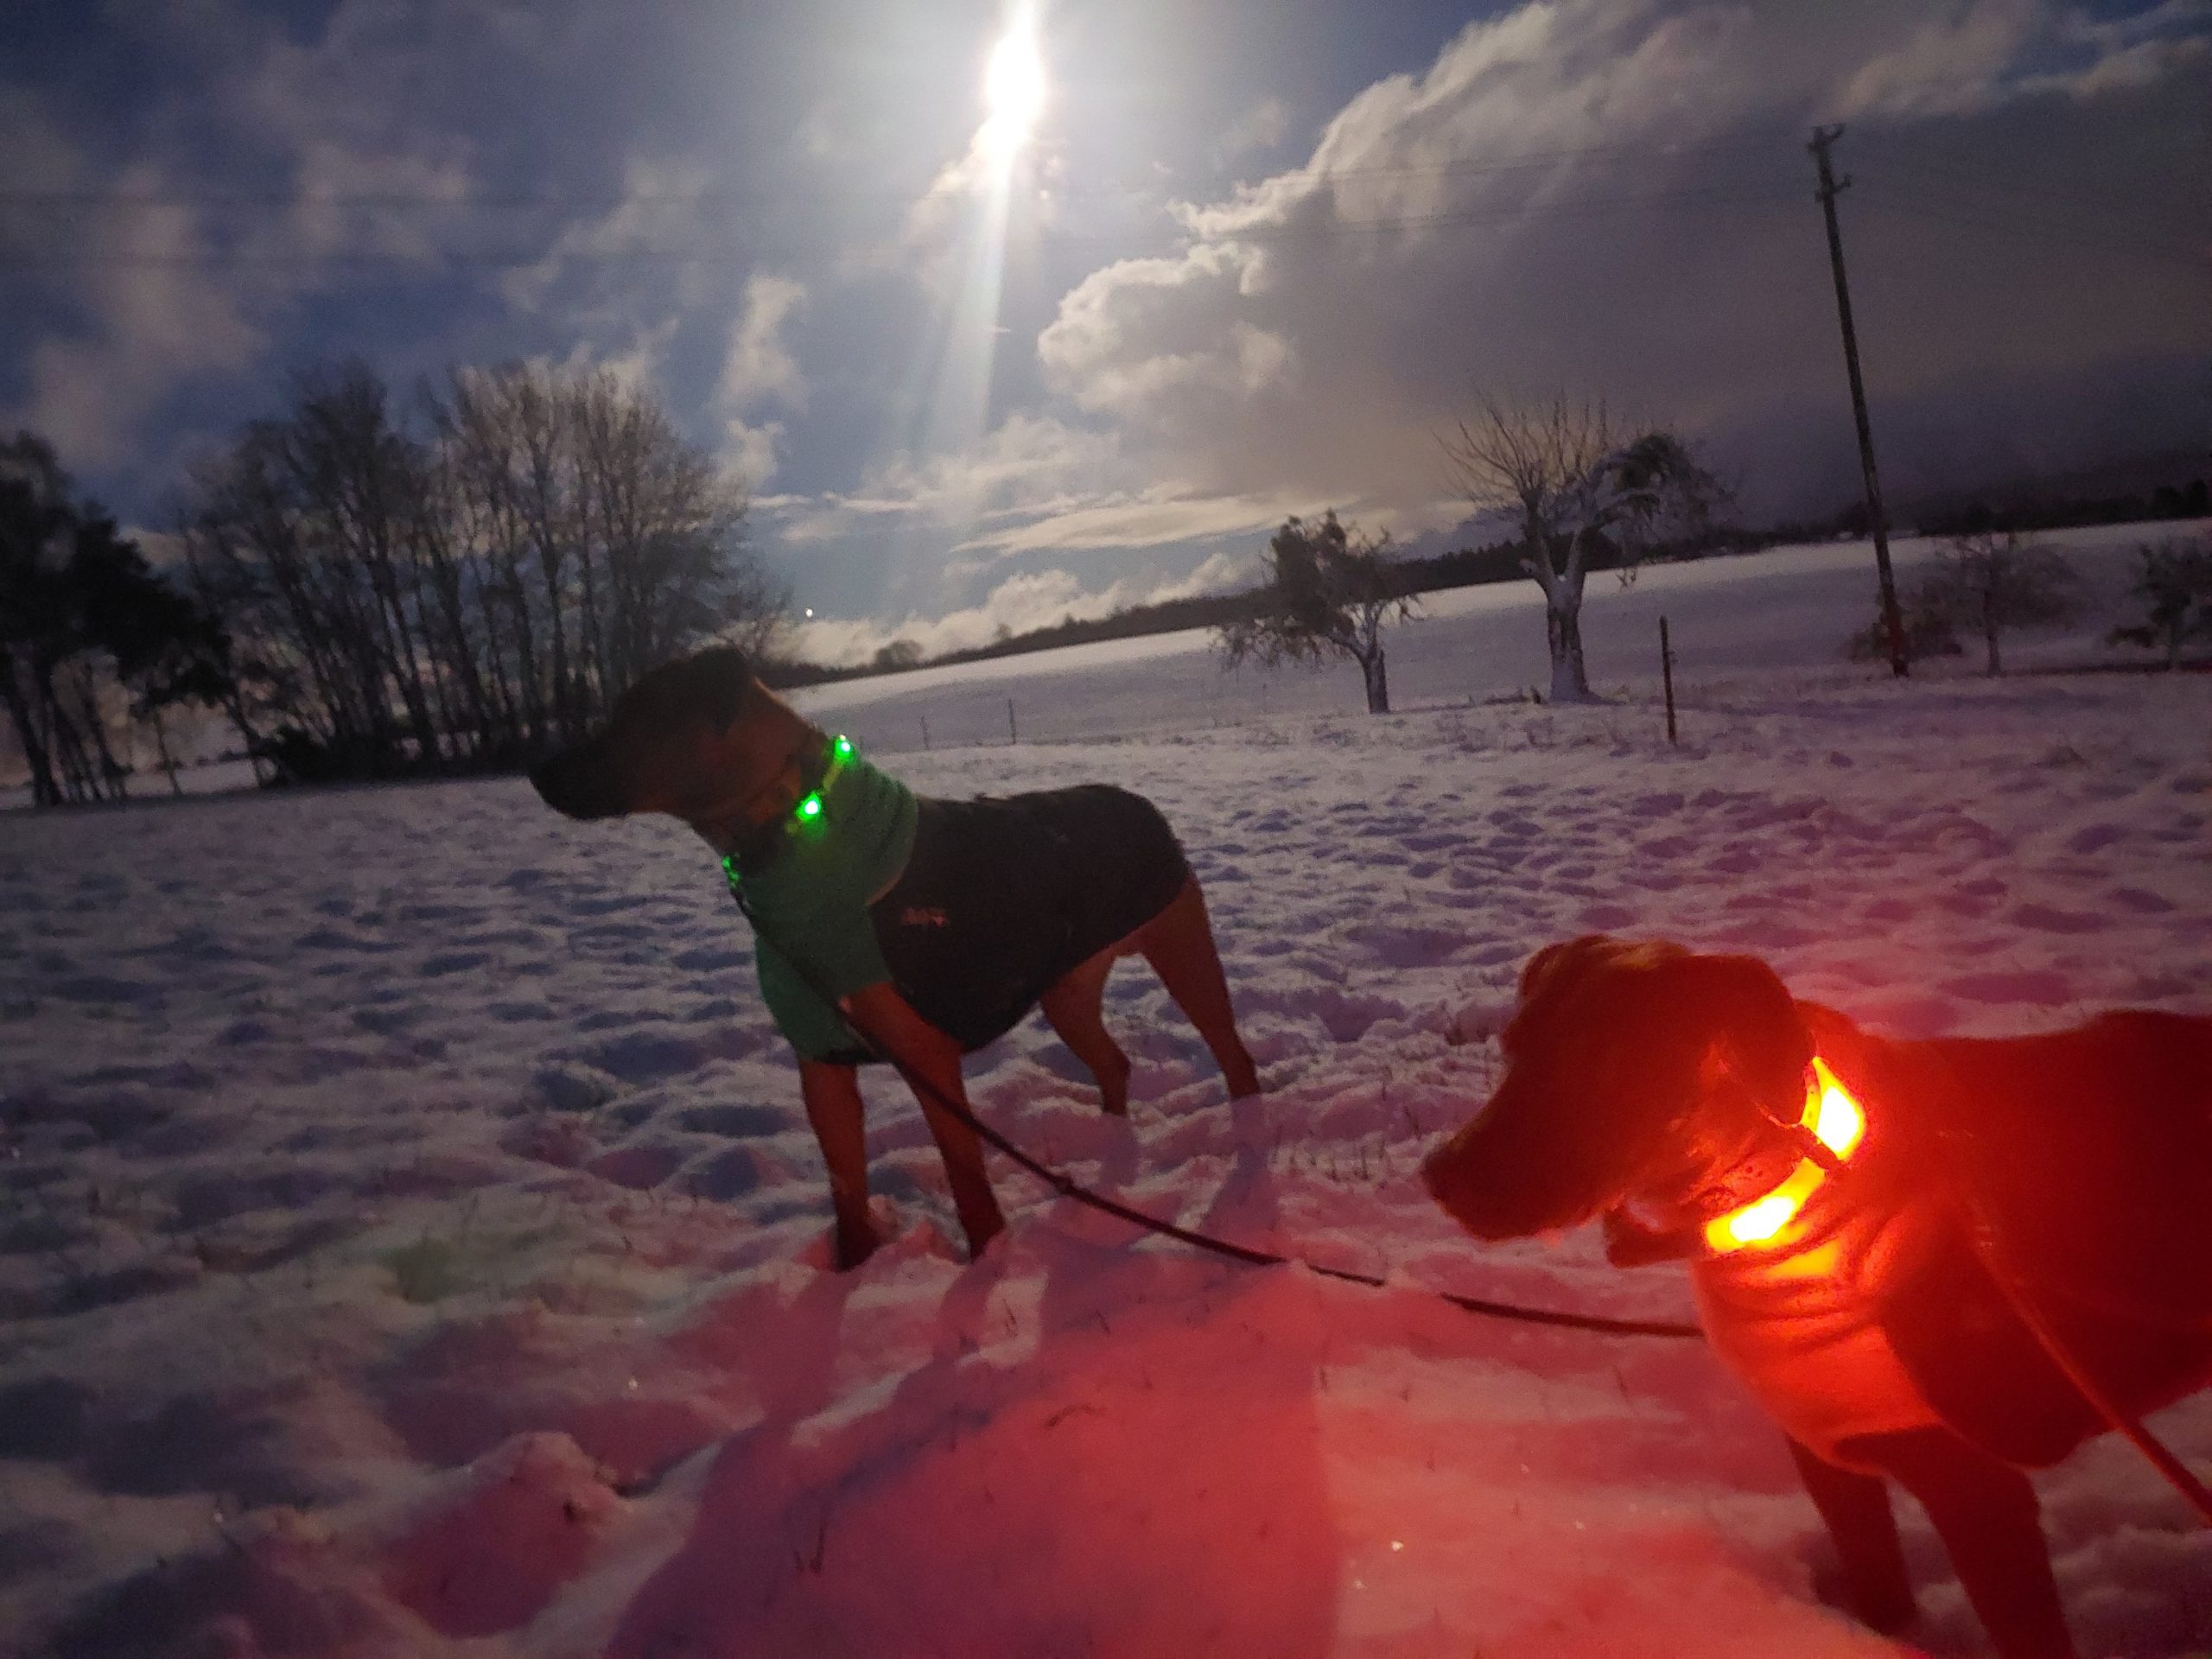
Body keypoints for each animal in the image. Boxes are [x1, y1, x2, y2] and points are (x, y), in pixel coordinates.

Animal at [530, 647, 1260, 1270]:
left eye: (634, 716)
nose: (537, 769)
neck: (789, 832)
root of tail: (1142, 802)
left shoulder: (924, 1055)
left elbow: (967, 1180)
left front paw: (986, 1269)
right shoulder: (820, 1060)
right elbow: (845, 1185)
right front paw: (852, 1276)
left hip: (1181, 946)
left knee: (1232, 1053)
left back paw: (1248, 1136)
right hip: (1066, 990)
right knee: (1112, 1062)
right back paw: (1109, 1150)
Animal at [1421, 935, 2212, 1659]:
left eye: (1610, 1064)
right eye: (1513, 1049)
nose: (1440, 1174)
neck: (1774, 1201)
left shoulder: (1975, 1488)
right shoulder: (1826, 1451)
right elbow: (1882, 1596)